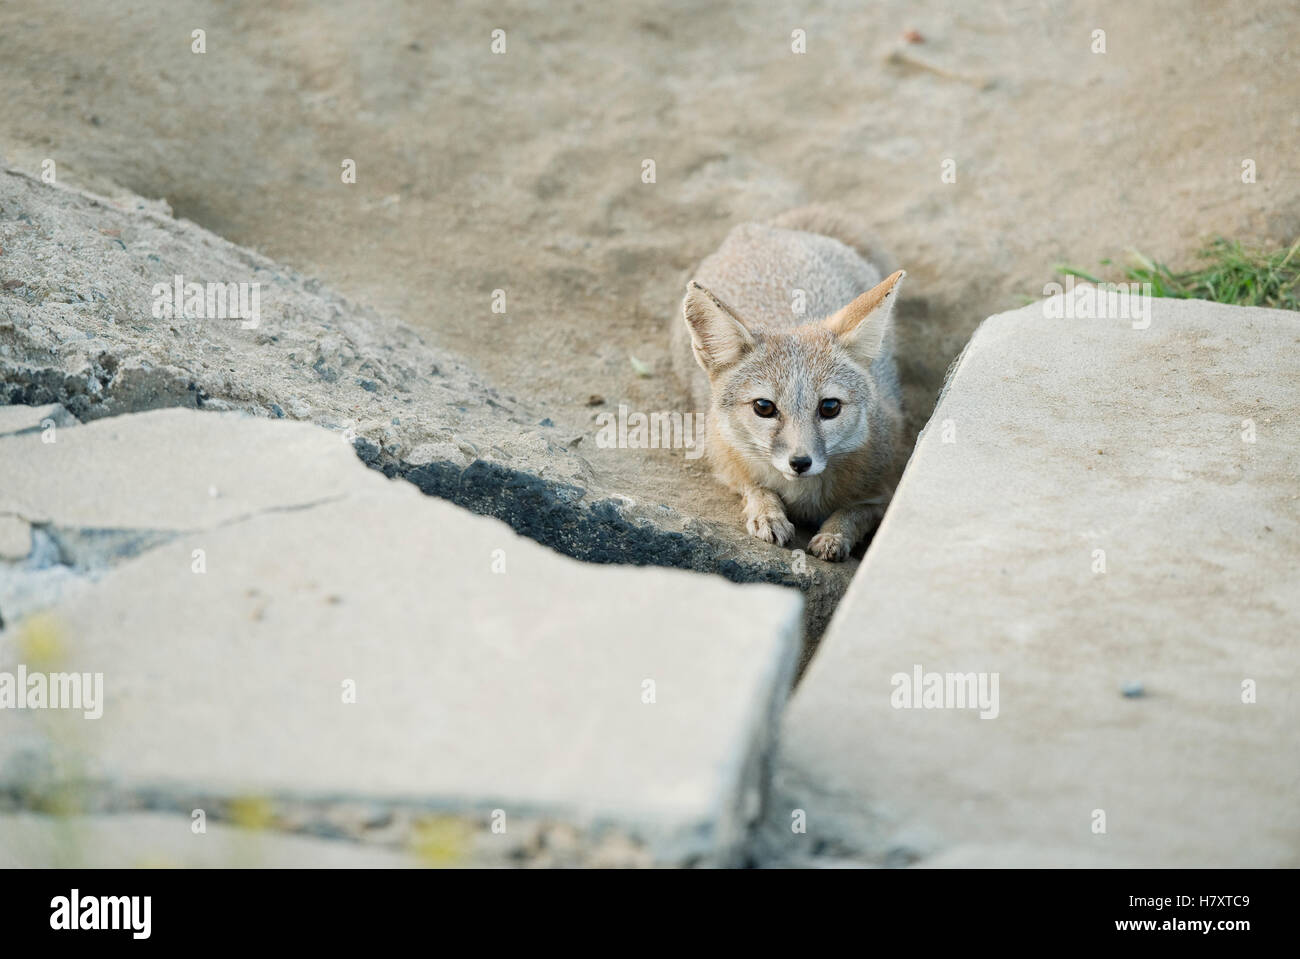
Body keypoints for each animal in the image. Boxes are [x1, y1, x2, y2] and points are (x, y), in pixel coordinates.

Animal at [672, 206, 905, 562]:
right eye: (764, 407)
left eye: (830, 407)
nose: (800, 462)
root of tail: (760, 230)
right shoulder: (725, 461)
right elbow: (756, 487)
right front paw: (768, 513)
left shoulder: (886, 490)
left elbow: (854, 511)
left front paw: (835, 535)